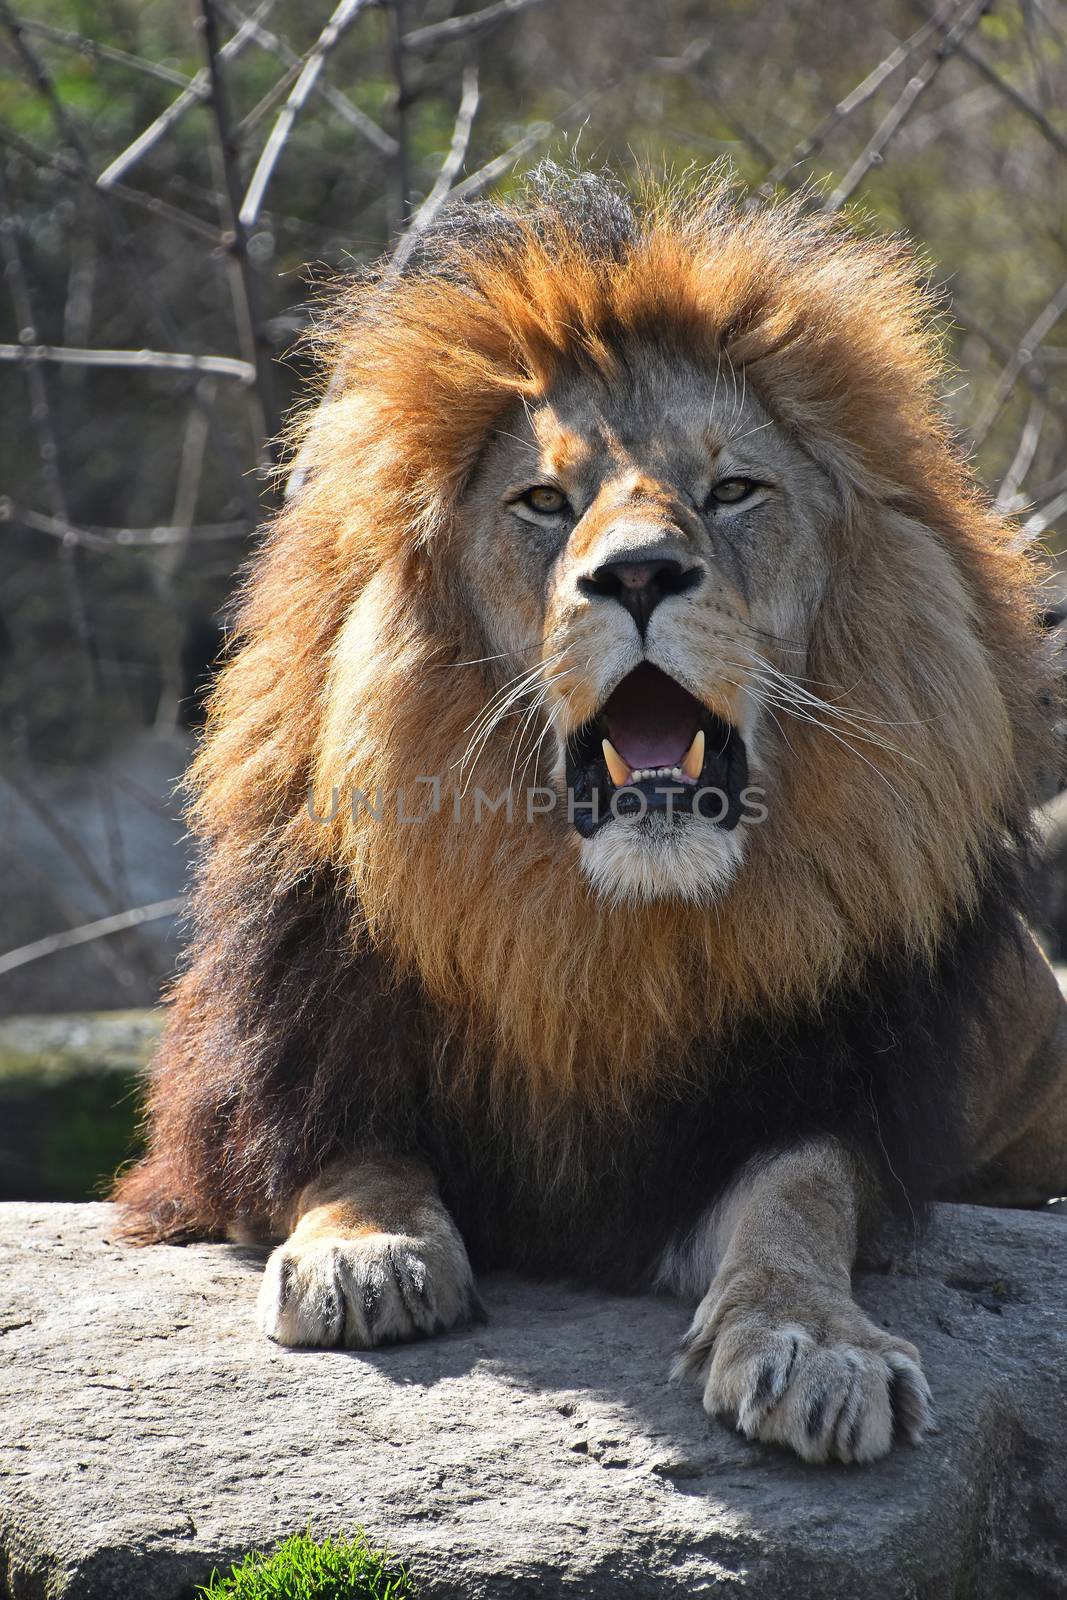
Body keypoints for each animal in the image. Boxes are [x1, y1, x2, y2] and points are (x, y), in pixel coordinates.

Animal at [116, 165, 1067, 1465]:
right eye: (541, 501)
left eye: (731, 490)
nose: (637, 574)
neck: (596, 935)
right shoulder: (286, 1065)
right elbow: (347, 1143)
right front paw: (364, 1250)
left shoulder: (820, 1098)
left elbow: (798, 1199)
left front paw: (813, 1343)